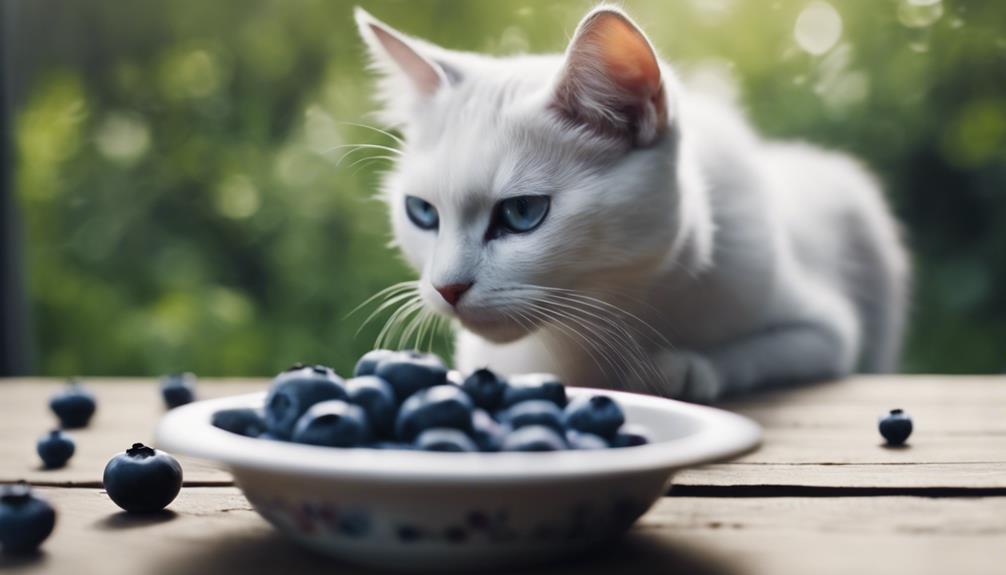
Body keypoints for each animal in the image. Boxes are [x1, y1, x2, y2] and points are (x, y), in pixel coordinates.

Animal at [356, 4, 913, 402]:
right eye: (422, 213)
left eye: (522, 214)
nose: (446, 288)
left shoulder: (826, 331)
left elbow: (748, 354)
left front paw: (675, 370)